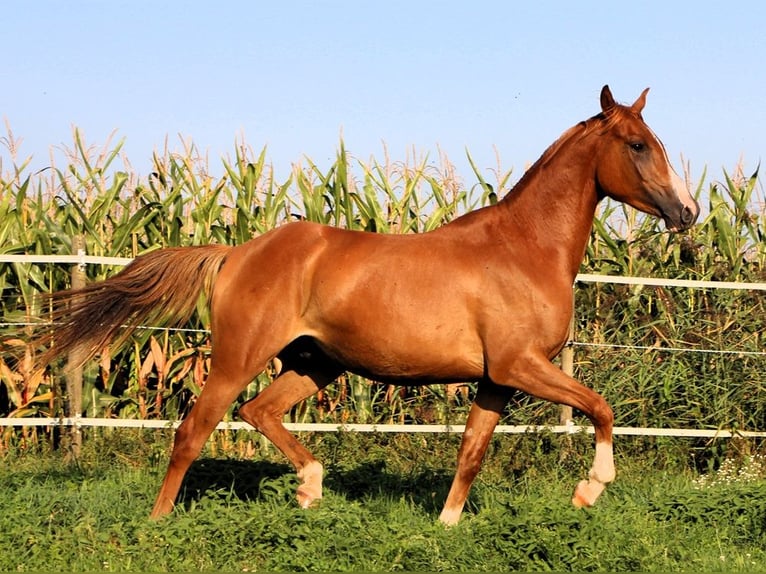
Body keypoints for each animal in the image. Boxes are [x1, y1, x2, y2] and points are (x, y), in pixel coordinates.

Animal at [30, 84, 704, 528]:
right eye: (637, 144)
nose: (688, 212)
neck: (524, 248)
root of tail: (236, 252)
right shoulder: (521, 366)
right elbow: (601, 408)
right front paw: (590, 490)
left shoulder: (497, 380)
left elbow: (470, 454)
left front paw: (446, 527)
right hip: (239, 358)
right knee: (194, 429)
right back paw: (159, 523)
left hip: (314, 363)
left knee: (257, 412)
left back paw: (309, 488)